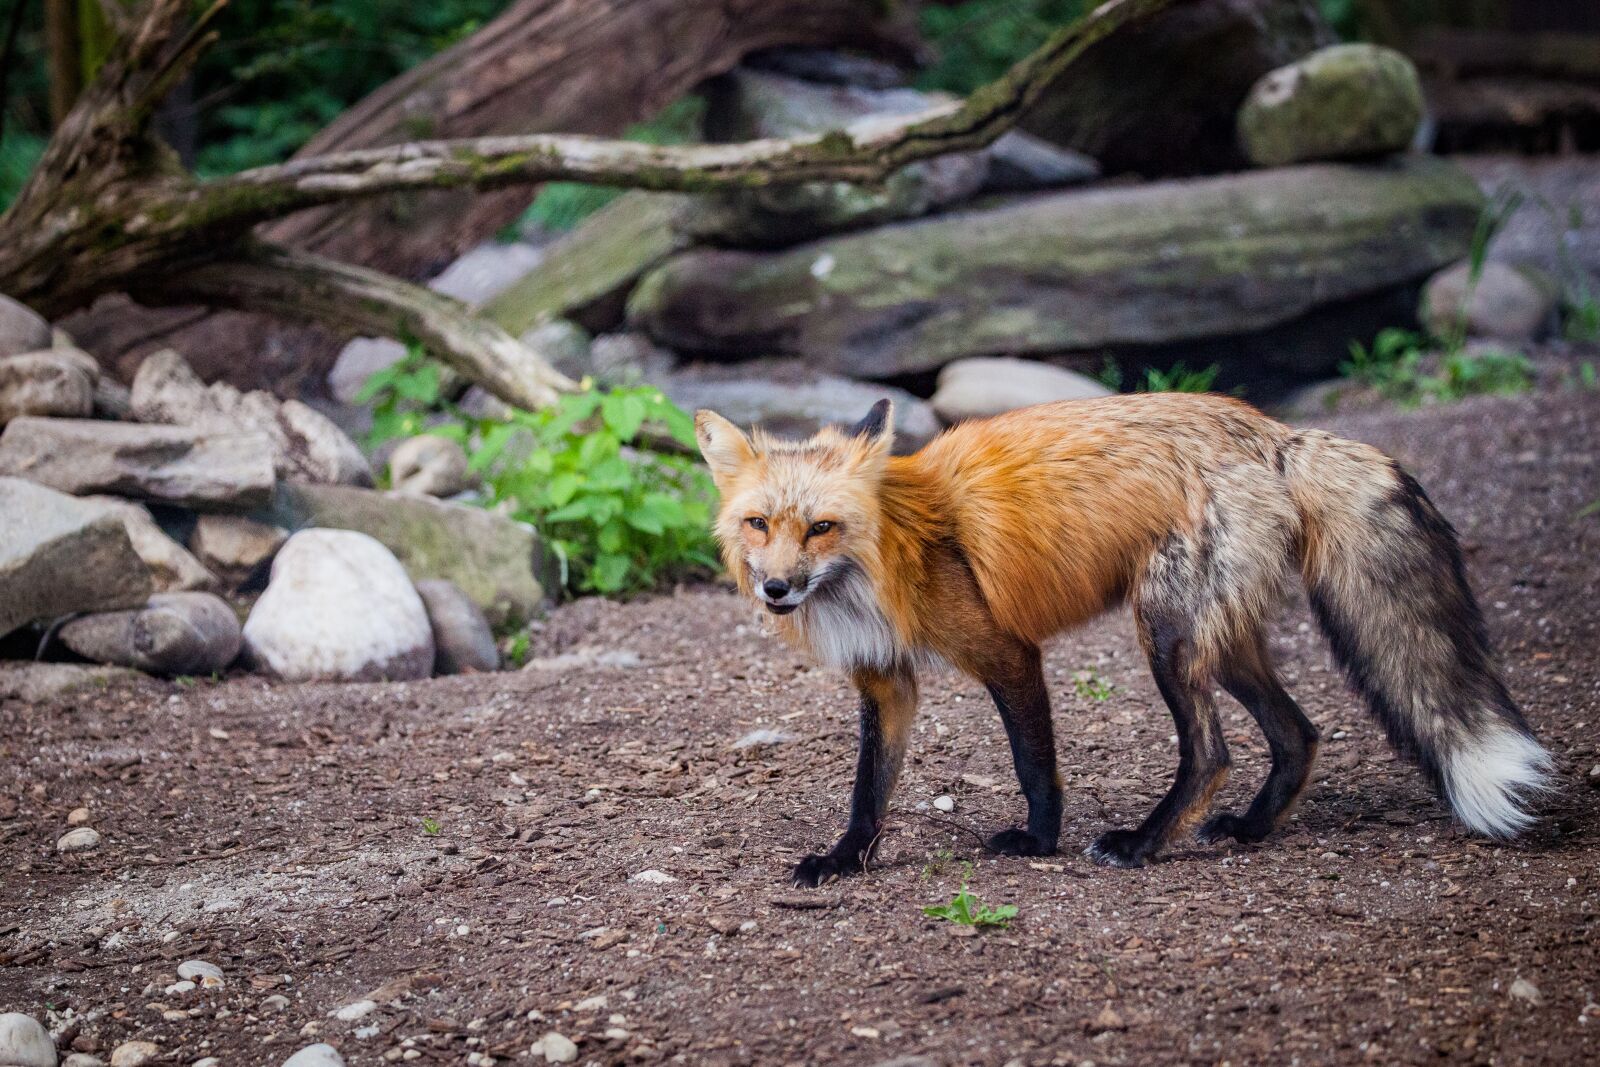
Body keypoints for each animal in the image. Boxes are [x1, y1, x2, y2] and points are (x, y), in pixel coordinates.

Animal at [694, 393, 1553, 887]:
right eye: (759, 523)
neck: (893, 551)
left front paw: (1038, 842)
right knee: (1300, 734)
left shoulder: (1008, 652)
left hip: (1166, 635)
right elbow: (868, 790)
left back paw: (1142, 844)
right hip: (1220, 643)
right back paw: (1249, 828)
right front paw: (845, 861)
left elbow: (1034, 765)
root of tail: (1277, 432)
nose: (777, 588)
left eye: (821, 527)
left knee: (1212, 752)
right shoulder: (886, 681)